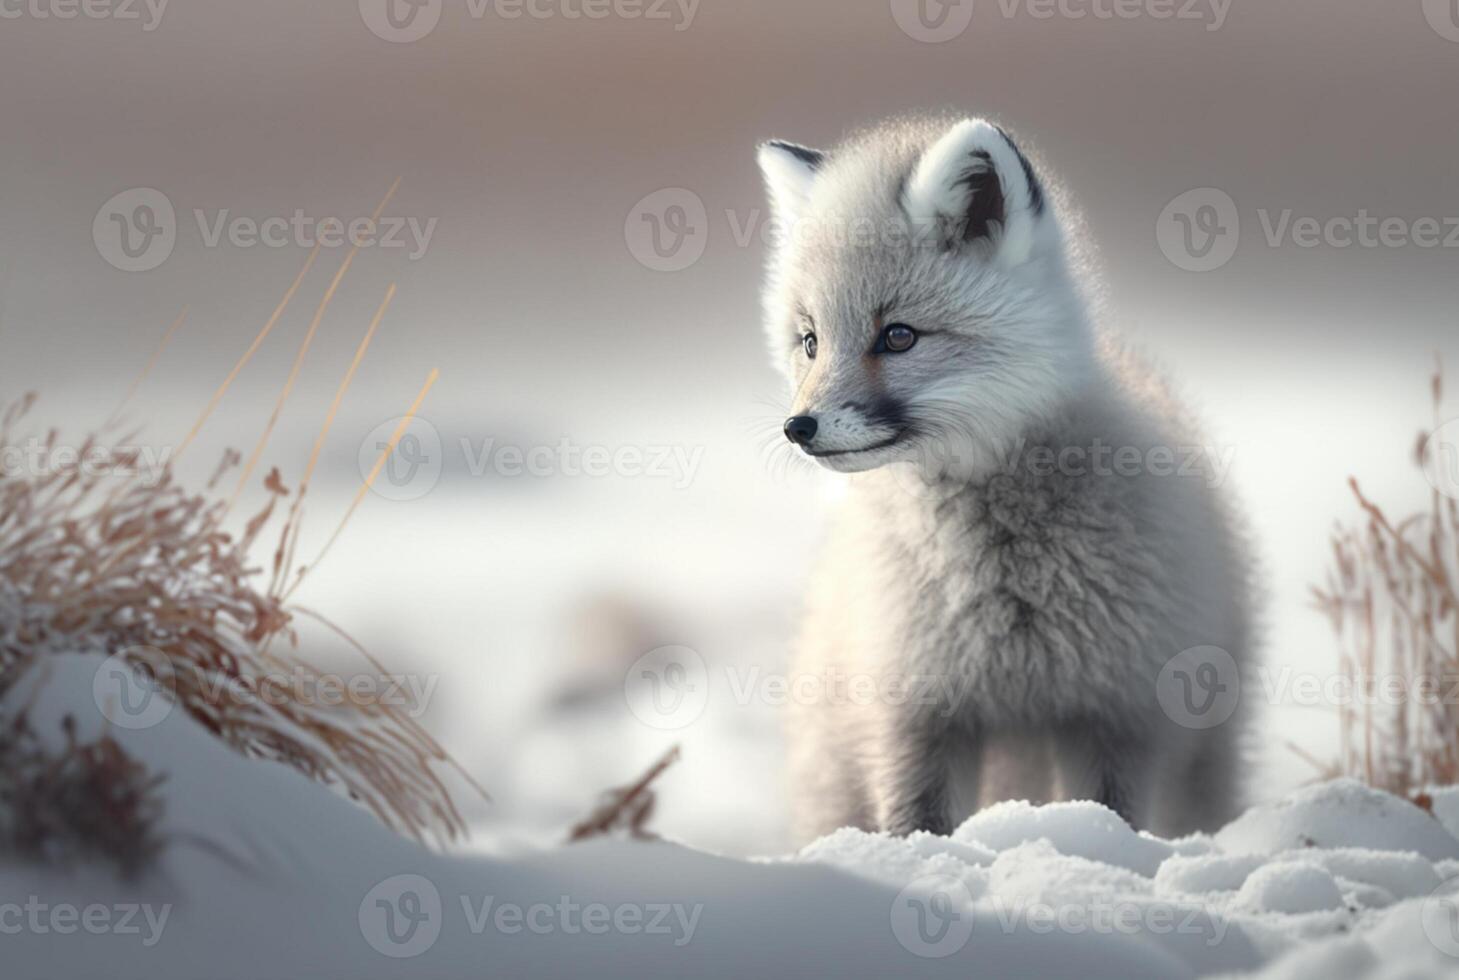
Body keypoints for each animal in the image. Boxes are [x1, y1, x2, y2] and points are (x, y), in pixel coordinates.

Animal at [764, 110, 1254, 840]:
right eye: (810, 341)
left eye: (898, 336)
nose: (800, 428)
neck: (1004, 586)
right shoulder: (919, 712)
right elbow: (917, 824)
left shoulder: (1113, 712)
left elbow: (1108, 814)